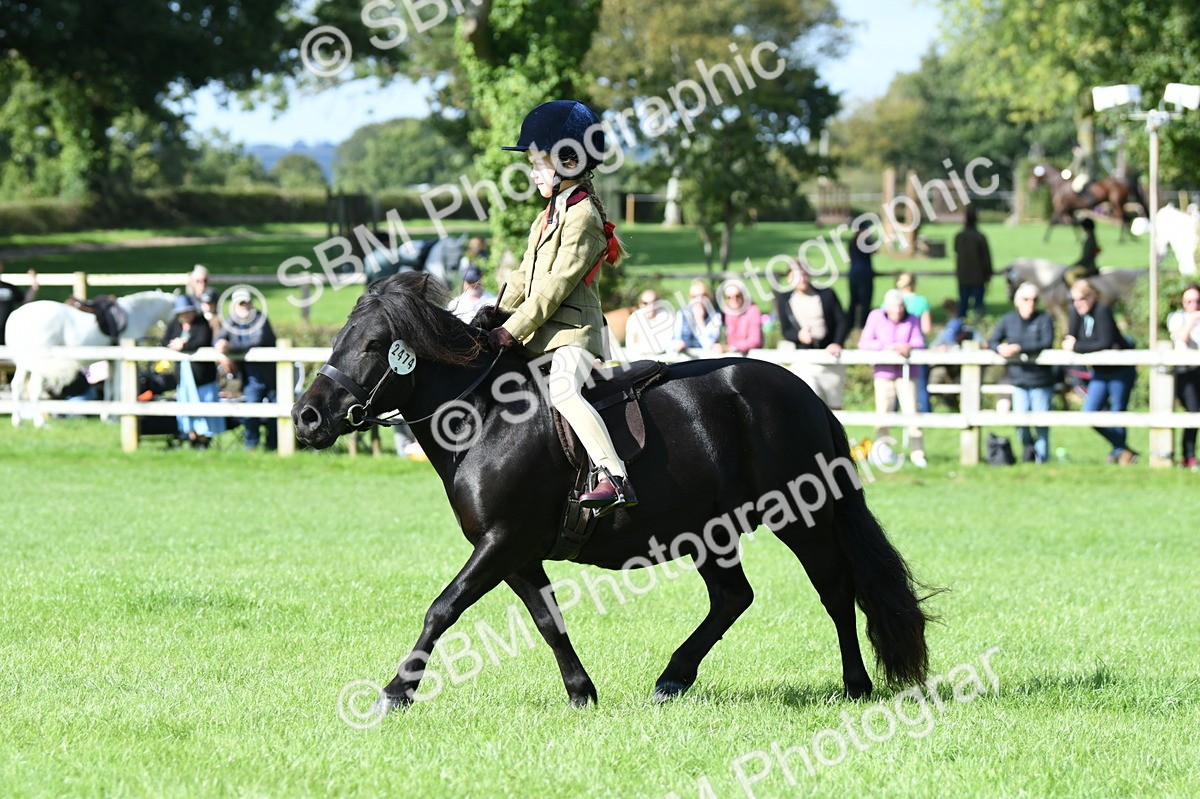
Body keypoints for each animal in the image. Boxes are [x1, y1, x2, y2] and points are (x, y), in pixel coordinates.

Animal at [6, 290, 176, 427]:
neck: (135, 314)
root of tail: (18, 315)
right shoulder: (120, 361)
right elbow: (117, 388)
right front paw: (115, 417)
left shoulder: (111, 361)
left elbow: (108, 388)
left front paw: (107, 417)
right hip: (41, 362)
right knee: (34, 388)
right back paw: (40, 422)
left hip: (25, 362)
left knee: (17, 386)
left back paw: (18, 421)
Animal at [292, 273, 933, 710]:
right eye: (341, 338)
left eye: (373, 345)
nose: (305, 417)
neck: (484, 416)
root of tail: (803, 392)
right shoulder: (516, 554)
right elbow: (548, 621)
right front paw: (582, 693)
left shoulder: (501, 542)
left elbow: (441, 609)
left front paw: (394, 692)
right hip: (710, 531)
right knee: (733, 597)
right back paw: (673, 678)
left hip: (803, 518)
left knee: (835, 591)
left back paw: (855, 685)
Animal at [1005, 258, 1141, 319]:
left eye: (1009, 281)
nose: (1010, 297)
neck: (1047, 278)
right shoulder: (1052, 308)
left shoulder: (1058, 309)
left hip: (1130, 302)